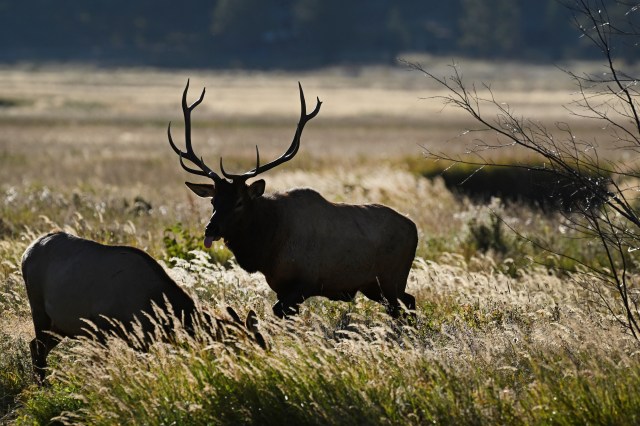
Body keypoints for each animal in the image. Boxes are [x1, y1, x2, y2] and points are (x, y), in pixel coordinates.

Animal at [21, 231, 266, 382]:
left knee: (35, 345)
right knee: (38, 347)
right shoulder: (107, 329)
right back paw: (42, 386)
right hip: (39, 309)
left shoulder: (142, 340)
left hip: (60, 326)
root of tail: (26, 253)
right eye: (244, 351)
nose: (261, 371)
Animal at [168, 80, 418, 319]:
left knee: (406, 306)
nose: (211, 228)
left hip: (391, 280)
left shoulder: (305, 282)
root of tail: (415, 229)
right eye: (213, 201)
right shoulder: (280, 286)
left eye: (239, 202)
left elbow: (279, 311)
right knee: (409, 302)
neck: (268, 247)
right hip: (376, 287)